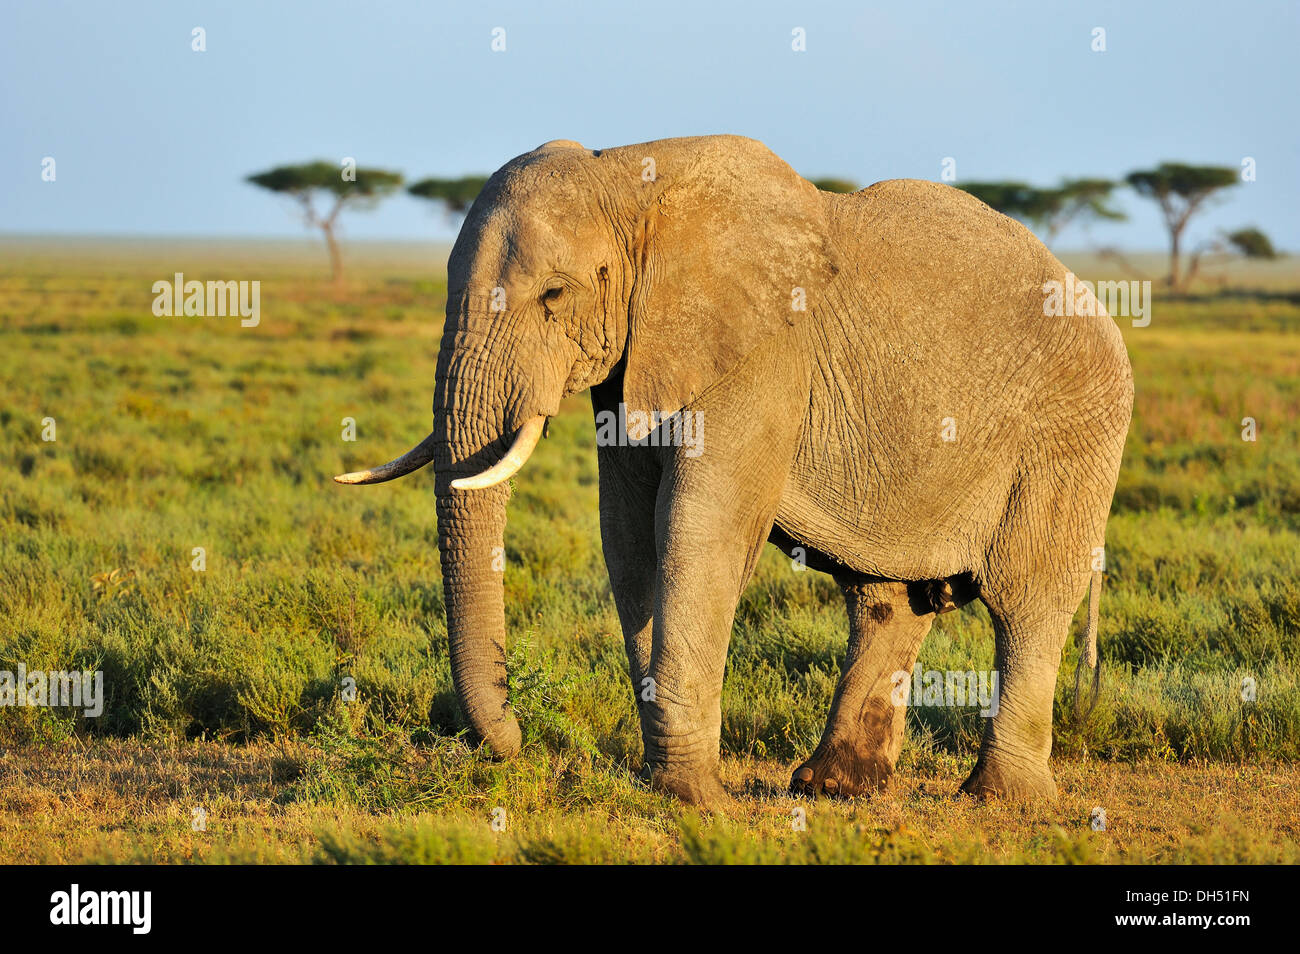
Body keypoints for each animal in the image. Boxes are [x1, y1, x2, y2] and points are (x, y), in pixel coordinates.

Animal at [338, 134, 1138, 805]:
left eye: (554, 295)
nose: (515, 739)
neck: (630, 175)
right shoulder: (638, 357)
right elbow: (629, 536)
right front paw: (670, 783)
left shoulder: (763, 352)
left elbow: (700, 529)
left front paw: (692, 798)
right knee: (886, 601)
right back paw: (833, 787)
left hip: (1073, 430)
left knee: (1027, 599)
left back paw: (1001, 801)